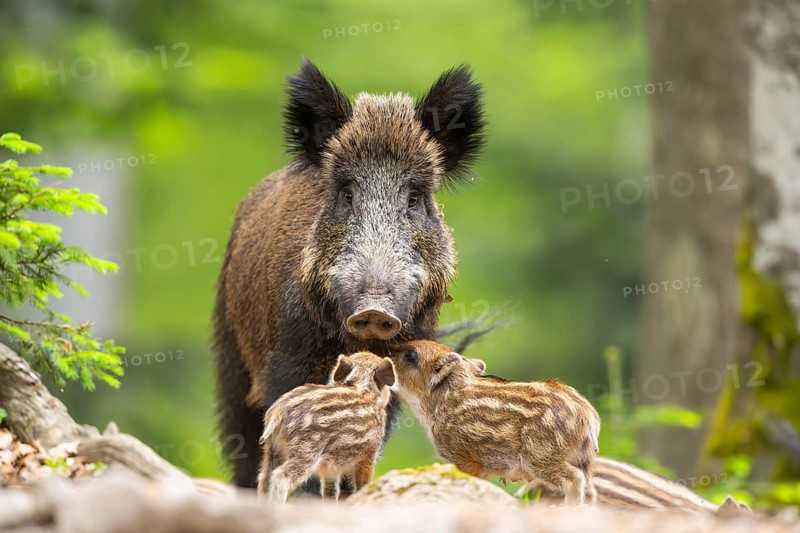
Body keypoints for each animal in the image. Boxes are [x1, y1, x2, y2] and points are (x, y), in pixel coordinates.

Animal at [390, 340, 601, 506]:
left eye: (410, 357)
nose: (386, 353)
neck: (439, 402)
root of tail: (588, 416)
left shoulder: (463, 459)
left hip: (541, 456)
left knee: (574, 479)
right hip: (582, 458)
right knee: (591, 490)